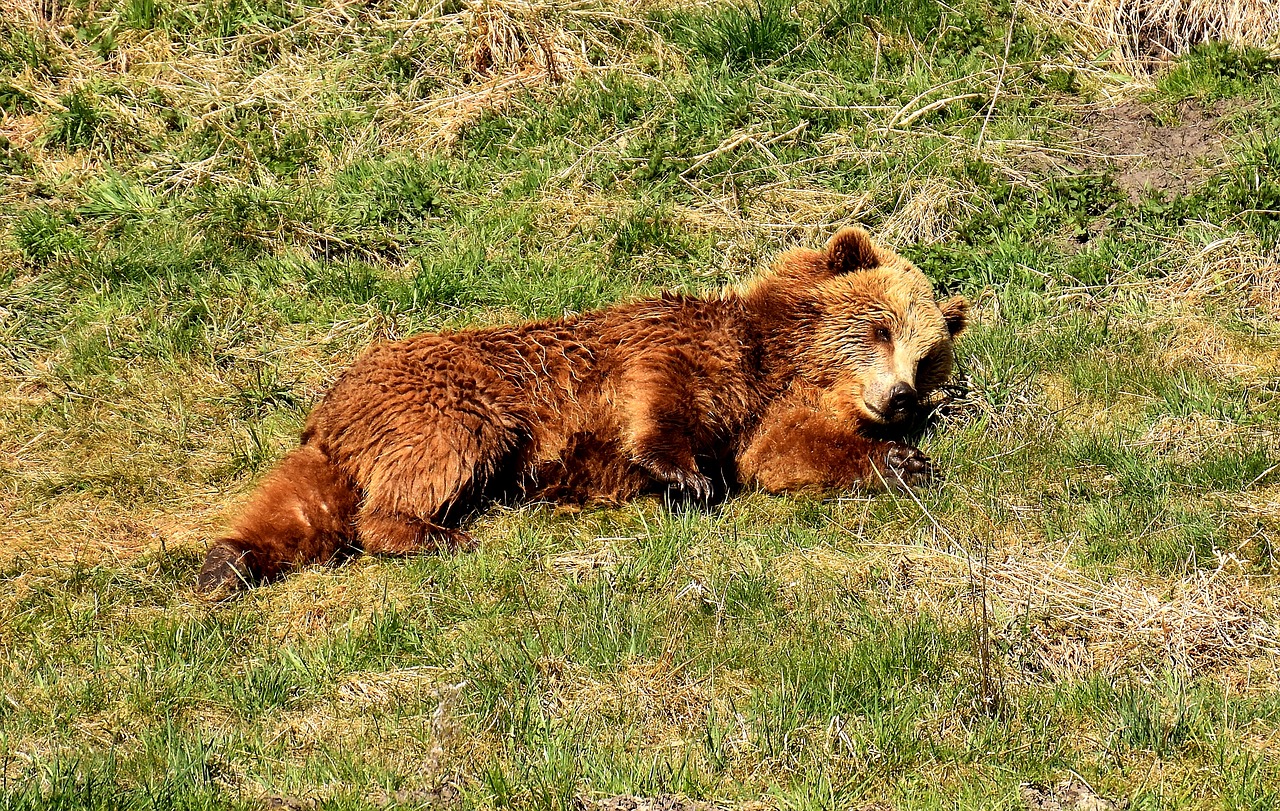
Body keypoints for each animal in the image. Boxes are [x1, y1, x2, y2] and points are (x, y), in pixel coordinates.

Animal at [194, 227, 962, 593]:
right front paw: (686, 478)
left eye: (927, 356)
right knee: (431, 461)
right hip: (448, 399)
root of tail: (335, 403)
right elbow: (665, 402)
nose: (899, 398)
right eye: (880, 327)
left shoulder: (768, 413)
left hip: (346, 444)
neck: (780, 357)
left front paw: (904, 462)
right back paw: (437, 533)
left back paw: (229, 561)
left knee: (303, 506)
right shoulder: (678, 348)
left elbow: (785, 455)